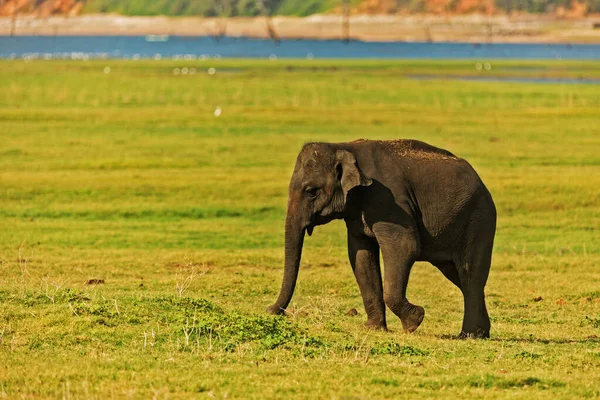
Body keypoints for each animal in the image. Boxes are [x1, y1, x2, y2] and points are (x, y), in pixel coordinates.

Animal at [268, 139, 496, 340]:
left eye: (311, 192)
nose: (270, 310)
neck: (342, 146)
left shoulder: (388, 200)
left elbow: (405, 247)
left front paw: (414, 322)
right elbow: (360, 256)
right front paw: (373, 329)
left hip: (479, 219)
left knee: (470, 275)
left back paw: (468, 336)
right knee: (458, 276)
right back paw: (481, 333)